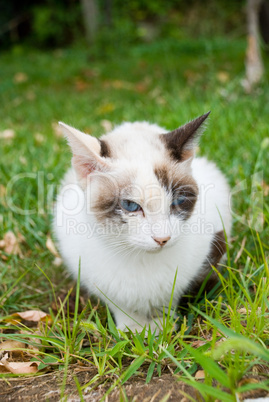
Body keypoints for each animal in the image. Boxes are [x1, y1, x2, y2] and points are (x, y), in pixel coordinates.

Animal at [53, 113, 231, 332]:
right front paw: (133, 329)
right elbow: (120, 306)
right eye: (130, 205)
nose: (163, 238)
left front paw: (163, 325)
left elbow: (170, 297)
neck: (140, 259)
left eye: (178, 201)